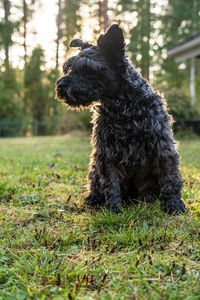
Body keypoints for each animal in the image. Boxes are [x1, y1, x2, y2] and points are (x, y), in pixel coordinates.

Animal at [55, 25, 185, 213]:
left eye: (88, 68)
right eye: (69, 67)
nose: (60, 86)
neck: (123, 106)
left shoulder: (162, 146)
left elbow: (170, 178)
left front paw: (173, 204)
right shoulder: (107, 151)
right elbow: (111, 183)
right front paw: (113, 208)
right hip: (94, 168)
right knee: (96, 184)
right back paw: (94, 198)